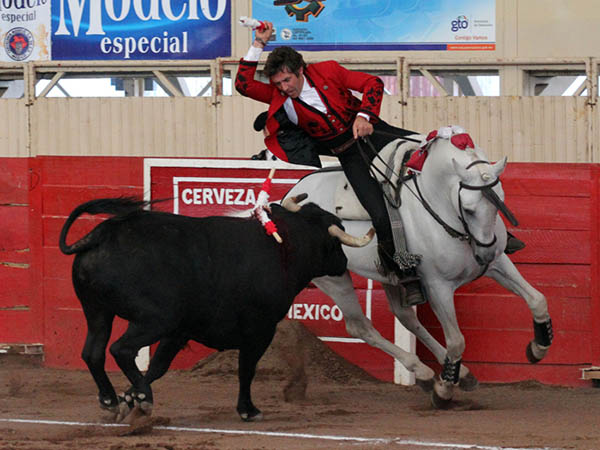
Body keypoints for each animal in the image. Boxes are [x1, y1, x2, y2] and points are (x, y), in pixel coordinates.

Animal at [58, 197, 372, 422]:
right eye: (335, 241)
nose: (344, 263)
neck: (284, 246)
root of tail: (102, 233)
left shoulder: (179, 332)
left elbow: (158, 367)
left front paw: (129, 399)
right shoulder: (259, 330)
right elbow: (247, 370)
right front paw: (248, 410)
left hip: (98, 312)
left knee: (93, 352)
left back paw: (111, 400)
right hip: (154, 319)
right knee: (120, 349)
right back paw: (145, 400)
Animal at [284, 125, 552, 408]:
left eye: (500, 199)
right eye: (469, 209)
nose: (485, 253)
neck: (441, 207)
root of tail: (292, 193)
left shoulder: (498, 262)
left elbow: (537, 299)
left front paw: (538, 347)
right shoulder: (438, 286)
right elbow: (456, 340)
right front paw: (444, 390)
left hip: (388, 276)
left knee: (405, 317)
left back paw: (445, 374)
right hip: (334, 278)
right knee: (360, 326)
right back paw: (425, 372)